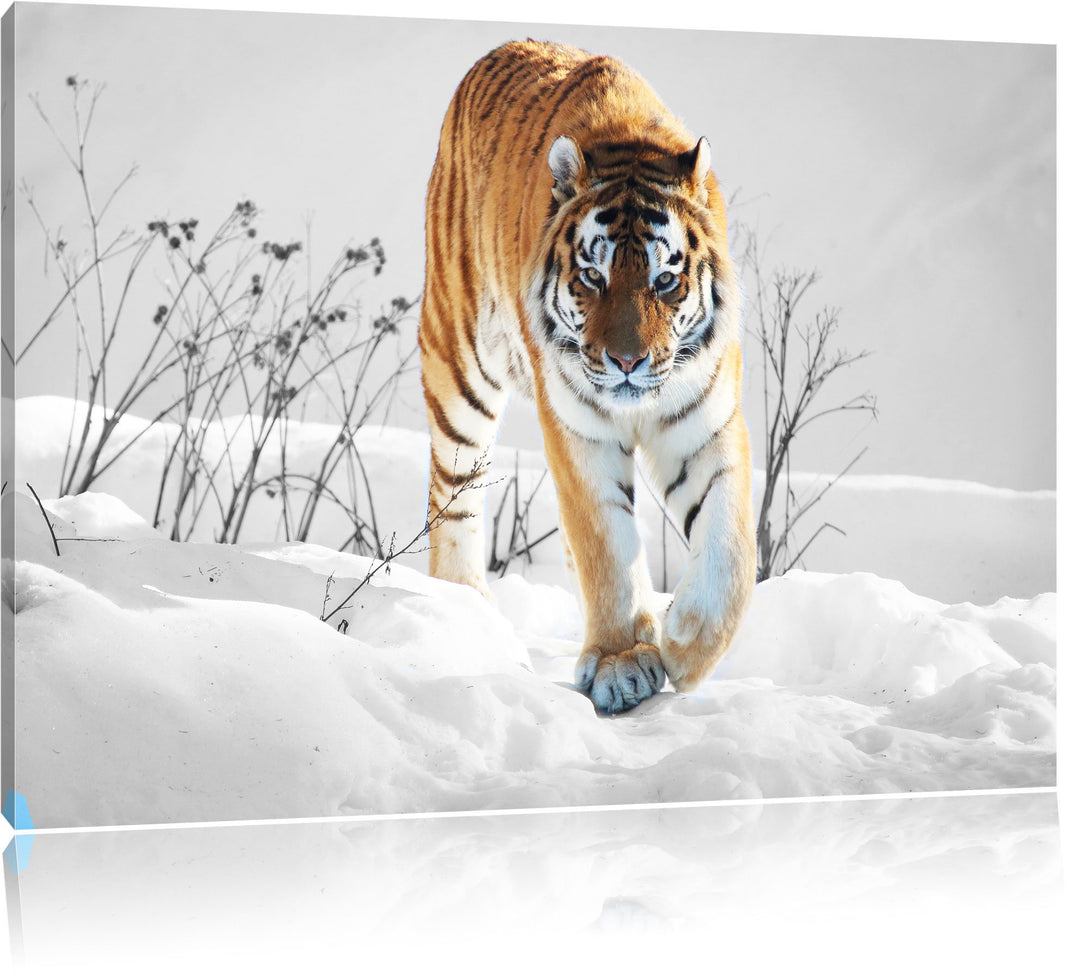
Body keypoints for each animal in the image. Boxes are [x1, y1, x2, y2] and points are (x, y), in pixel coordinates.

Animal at [419, 40, 756, 714]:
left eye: (665, 280)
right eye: (593, 278)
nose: (627, 362)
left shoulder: (705, 422)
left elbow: (730, 544)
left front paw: (686, 642)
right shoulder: (579, 429)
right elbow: (606, 544)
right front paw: (622, 663)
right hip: (458, 364)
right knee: (455, 497)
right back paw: (468, 611)